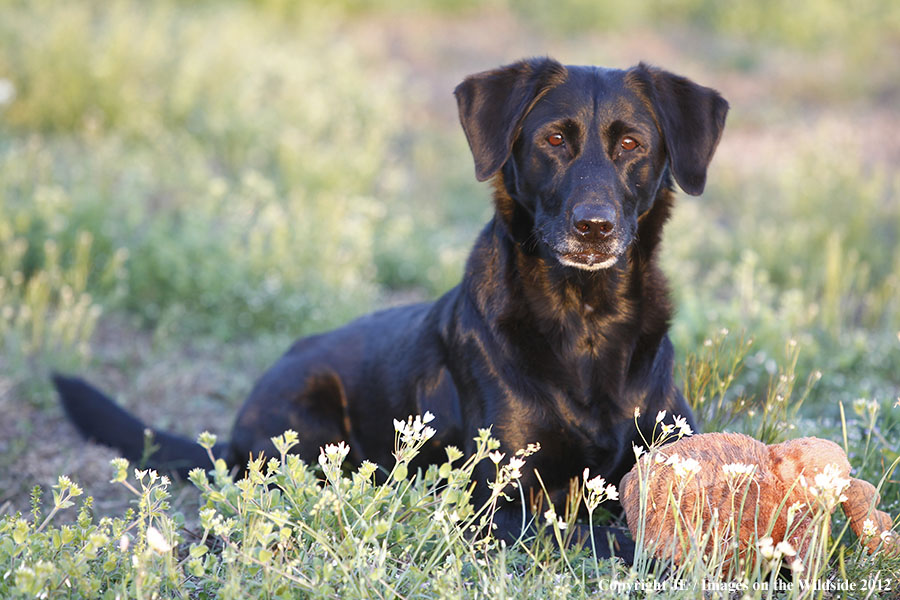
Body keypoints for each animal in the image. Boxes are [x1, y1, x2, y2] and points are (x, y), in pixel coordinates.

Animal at [54, 58, 724, 560]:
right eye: (554, 139)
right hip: (309, 423)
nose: (594, 227)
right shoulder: (498, 504)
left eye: (632, 144)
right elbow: (607, 535)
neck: (586, 320)